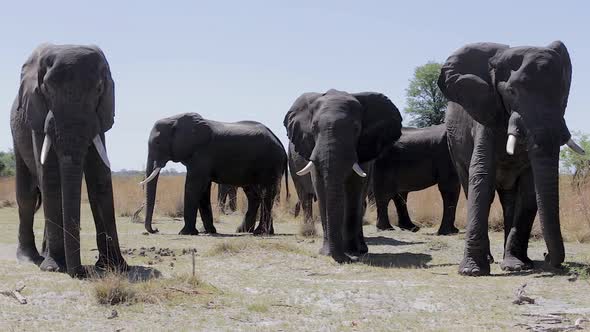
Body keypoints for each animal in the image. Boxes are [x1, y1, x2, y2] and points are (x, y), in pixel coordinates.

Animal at [9, 44, 127, 278]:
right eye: (47, 89)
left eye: (99, 89)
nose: (80, 272)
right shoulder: (38, 113)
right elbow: (50, 177)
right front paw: (53, 267)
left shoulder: (99, 117)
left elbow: (99, 178)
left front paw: (117, 267)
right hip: (16, 133)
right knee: (27, 194)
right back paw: (30, 258)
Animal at [284, 89, 404, 264]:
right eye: (314, 127)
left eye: (356, 128)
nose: (346, 259)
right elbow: (321, 188)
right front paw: (327, 253)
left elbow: (355, 190)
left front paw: (352, 251)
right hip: (292, 163)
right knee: (305, 196)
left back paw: (360, 249)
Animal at [440, 40, 588, 274]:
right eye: (511, 91)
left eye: (563, 94)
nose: (546, 256)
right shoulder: (486, 113)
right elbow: (482, 176)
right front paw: (472, 271)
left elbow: (529, 188)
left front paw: (516, 266)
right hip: (453, 145)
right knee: (472, 186)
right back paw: (490, 259)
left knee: (509, 200)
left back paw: (517, 262)